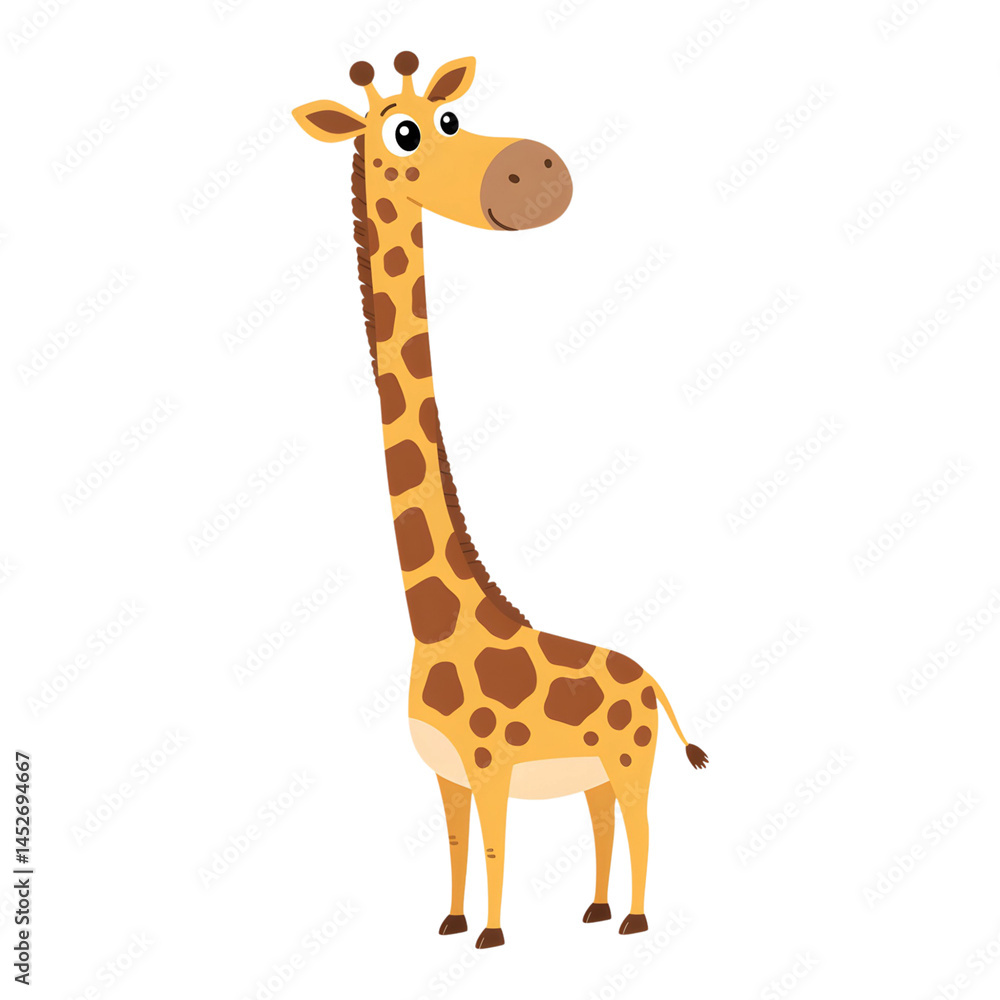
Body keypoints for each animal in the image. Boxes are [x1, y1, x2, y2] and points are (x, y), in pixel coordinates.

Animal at [293, 52, 708, 949]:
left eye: (450, 116)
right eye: (405, 132)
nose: (538, 171)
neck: (434, 626)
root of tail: (652, 679)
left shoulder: (491, 766)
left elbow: (492, 847)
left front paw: (489, 935)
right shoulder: (445, 773)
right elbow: (455, 845)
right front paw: (451, 924)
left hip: (631, 757)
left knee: (642, 824)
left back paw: (634, 920)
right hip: (596, 769)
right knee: (603, 822)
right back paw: (596, 910)